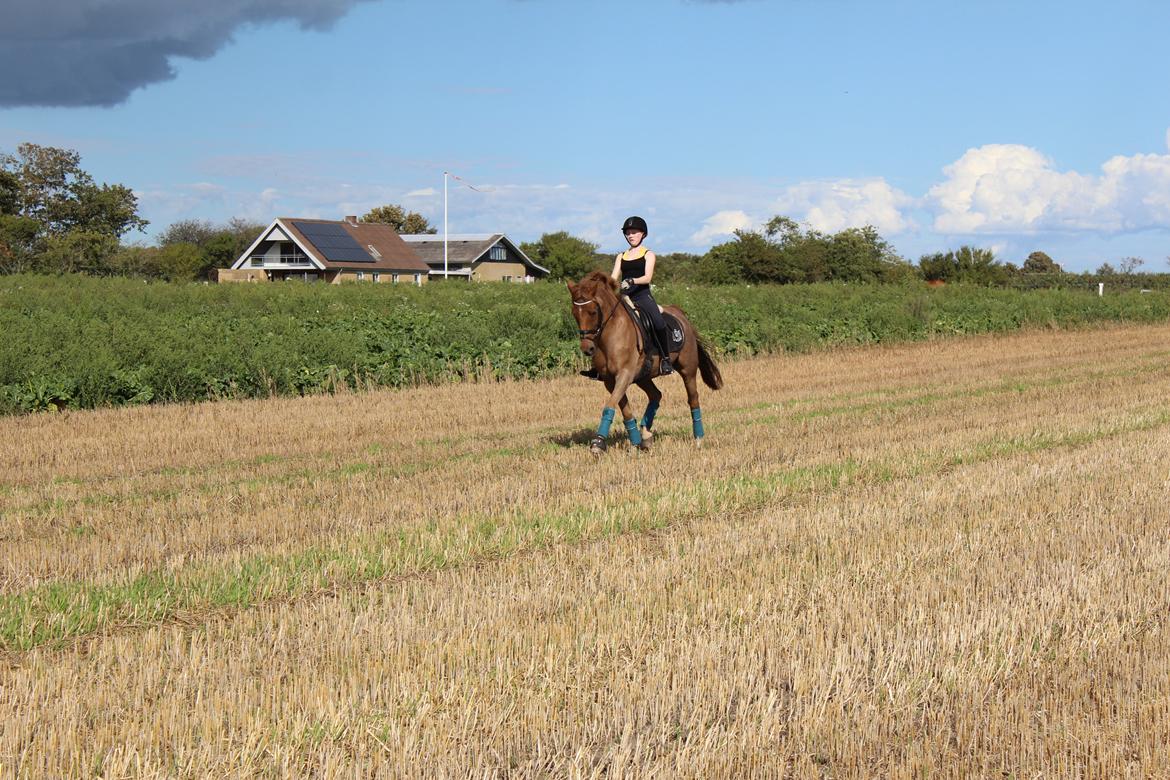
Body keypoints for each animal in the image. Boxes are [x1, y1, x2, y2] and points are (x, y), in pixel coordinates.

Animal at [566, 271, 720, 453]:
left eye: (592, 312)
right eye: (574, 313)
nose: (587, 348)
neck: (610, 332)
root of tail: (680, 314)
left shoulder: (624, 375)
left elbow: (609, 406)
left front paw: (598, 443)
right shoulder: (610, 380)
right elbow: (625, 410)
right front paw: (635, 442)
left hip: (687, 370)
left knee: (693, 399)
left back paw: (698, 439)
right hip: (643, 376)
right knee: (656, 395)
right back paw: (646, 435)